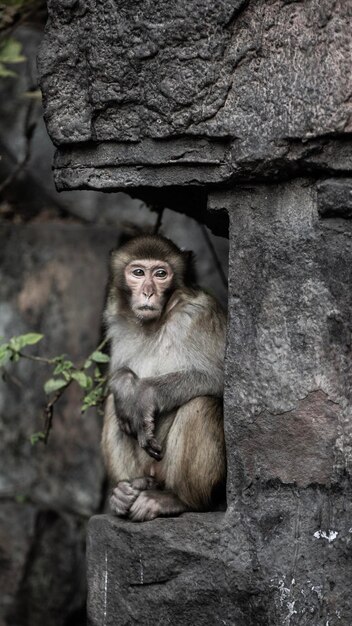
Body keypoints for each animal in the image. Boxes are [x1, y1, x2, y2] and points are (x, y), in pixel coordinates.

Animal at [100, 232, 227, 520]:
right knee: (114, 404)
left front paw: (144, 396)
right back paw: (126, 492)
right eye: (138, 272)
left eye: (161, 274)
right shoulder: (117, 321)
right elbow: (116, 376)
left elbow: (222, 379)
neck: (155, 322)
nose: (148, 292)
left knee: (201, 403)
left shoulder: (202, 314)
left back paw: (178, 501)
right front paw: (124, 384)